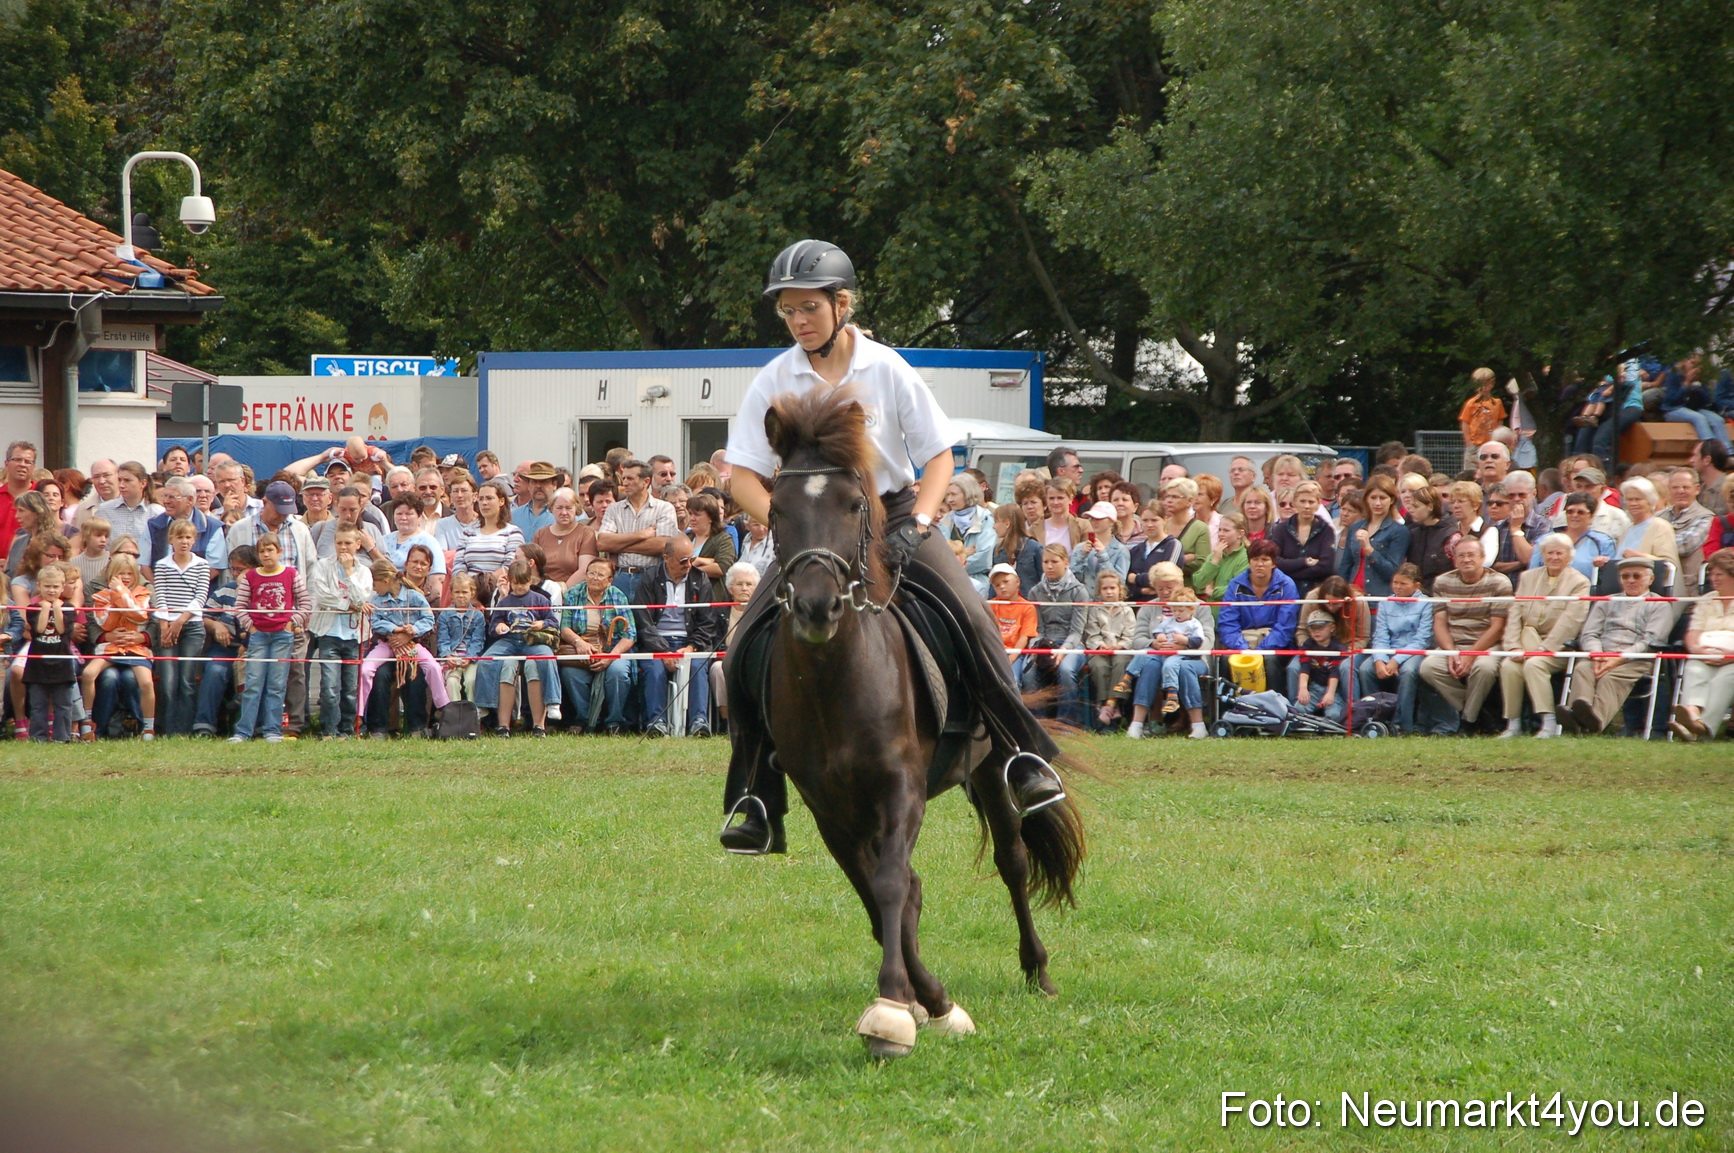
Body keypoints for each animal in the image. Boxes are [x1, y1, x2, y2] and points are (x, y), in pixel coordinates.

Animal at [756, 388, 1085, 1059]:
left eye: (854, 504)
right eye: (776, 507)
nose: (817, 607)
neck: (834, 682)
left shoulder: (899, 786)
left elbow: (887, 886)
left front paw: (895, 1011)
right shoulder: (828, 806)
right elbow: (877, 893)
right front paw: (920, 1001)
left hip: (991, 768)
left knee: (1012, 861)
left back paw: (1037, 970)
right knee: (910, 888)